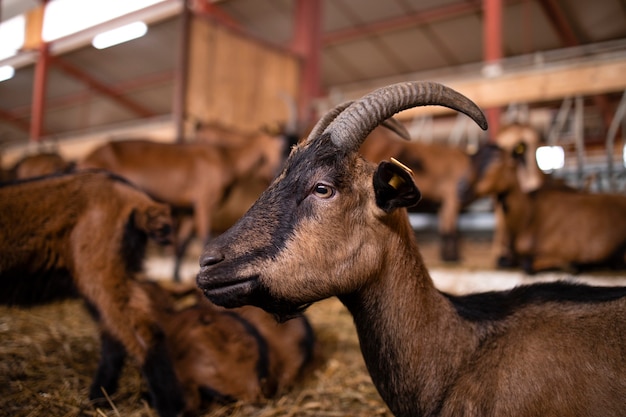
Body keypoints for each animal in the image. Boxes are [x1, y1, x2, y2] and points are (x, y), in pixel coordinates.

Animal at [0, 170, 185, 416]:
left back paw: (168, 406)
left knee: (142, 331)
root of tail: (134, 197)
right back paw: (99, 396)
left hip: (100, 269)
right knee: (114, 333)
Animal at [470, 143, 620, 272]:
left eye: (498, 161)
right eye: (475, 159)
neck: (527, 215)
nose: (469, 188)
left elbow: (528, 264)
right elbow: (503, 260)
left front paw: (573, 265)